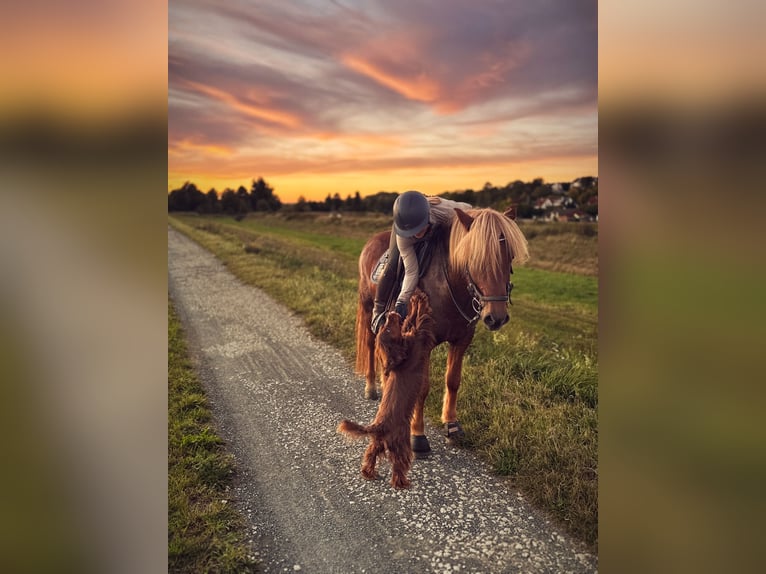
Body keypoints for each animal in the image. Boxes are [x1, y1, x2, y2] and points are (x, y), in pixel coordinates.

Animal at [354, 206, 529, 455]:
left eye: (510, 256)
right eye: (474, 257)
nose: (496, 317)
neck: (447, 284)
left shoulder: (462, 340)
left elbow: (453, 380)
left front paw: (452, 425)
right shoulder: (423, 343)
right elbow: (423, 388)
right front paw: (418, 435)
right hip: (368, 306)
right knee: (371, 345)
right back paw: (371, 387)